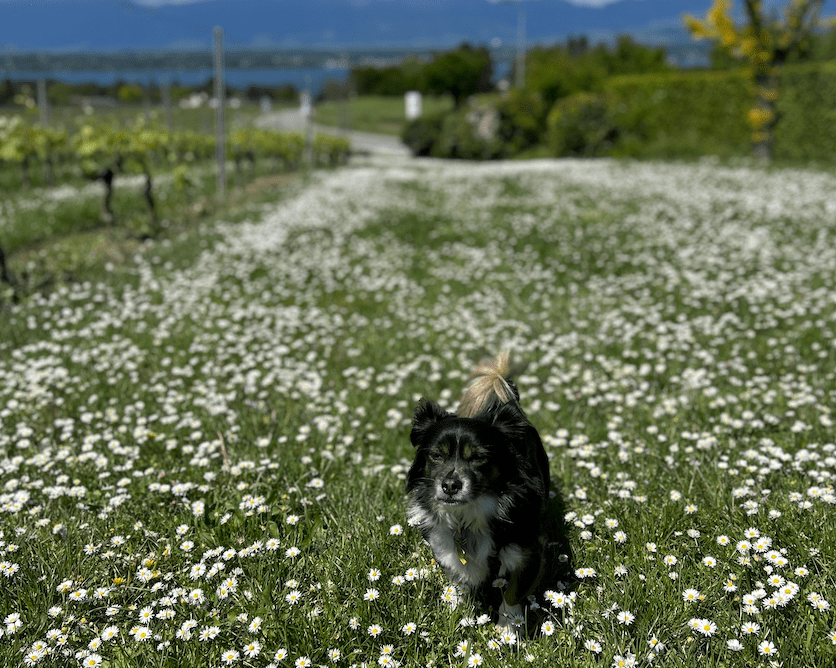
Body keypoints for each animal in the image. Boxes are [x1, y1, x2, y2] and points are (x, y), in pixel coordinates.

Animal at [404, 352, 548, 628]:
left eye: (478, 458)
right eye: (437, 455)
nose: (450, 485)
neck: (466, 517)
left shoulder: (527, 554)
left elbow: (512, 592)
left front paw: (507, 628)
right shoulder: (445, 548)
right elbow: (458, 581)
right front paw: (455, 610)